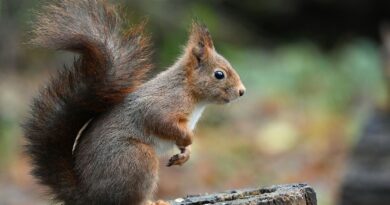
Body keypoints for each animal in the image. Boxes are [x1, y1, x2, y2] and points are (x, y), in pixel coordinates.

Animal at [23, 0, 244, 204]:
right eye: (219, 74)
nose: (242, 92)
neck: (191, 92)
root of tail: (87, 195)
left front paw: (185, 154)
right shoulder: (162, 104)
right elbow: (160, 121)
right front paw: (188, 139)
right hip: (136, 158)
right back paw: (152, 202)